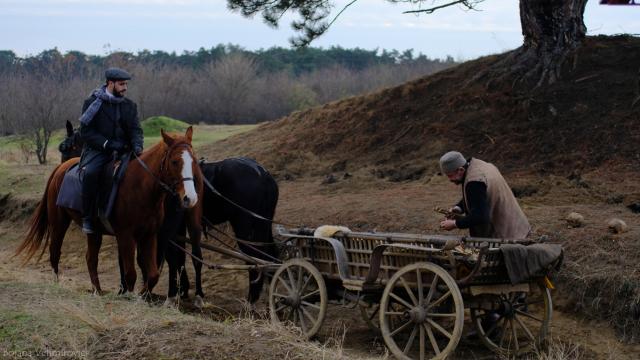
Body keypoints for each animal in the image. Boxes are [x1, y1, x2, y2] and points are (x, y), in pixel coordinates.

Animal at [16, 126, 202, 296]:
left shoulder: (149, 235)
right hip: (58, 223)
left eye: (193, 161)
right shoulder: (126, 236)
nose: (190, 198)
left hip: (94, 231)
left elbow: (153, 274)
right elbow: (130, 273)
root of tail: (61, 169)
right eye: (175, 162)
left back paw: (97, 291)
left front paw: (143, 295)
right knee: (55, 252)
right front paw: (129, 295)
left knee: (90, 259)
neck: (141, 187)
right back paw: (57, 285)